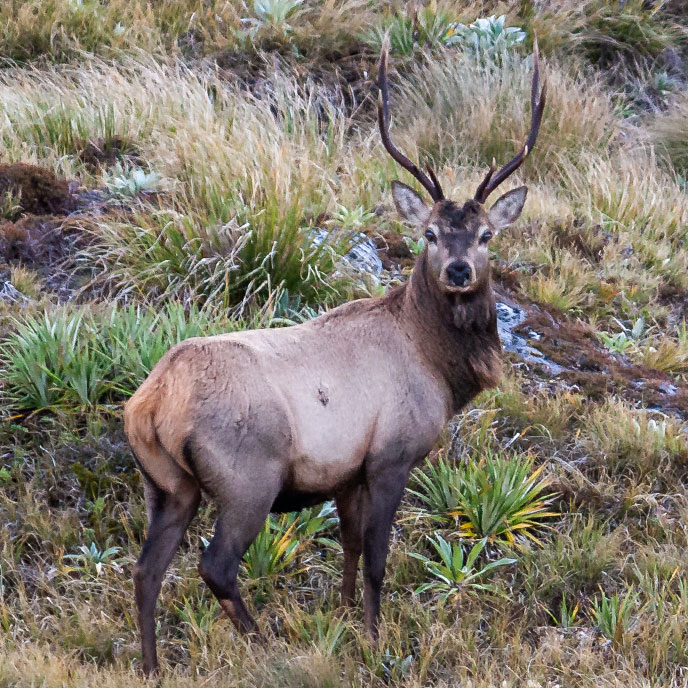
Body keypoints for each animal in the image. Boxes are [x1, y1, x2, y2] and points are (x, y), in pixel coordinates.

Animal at [122, 41, 544, 672]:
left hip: (166, 484)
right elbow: (376, 558)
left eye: (486, 234)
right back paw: (264, 643)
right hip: (248, 477)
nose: (458, 271)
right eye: (429, 233)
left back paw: (151, 665)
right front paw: (375, 638)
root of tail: (152, 402)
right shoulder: (392, 454)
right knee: (214, 566)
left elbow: (346, 544)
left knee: (146, 570)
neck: (439, 370)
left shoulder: (346, 470)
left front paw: (344, 616)